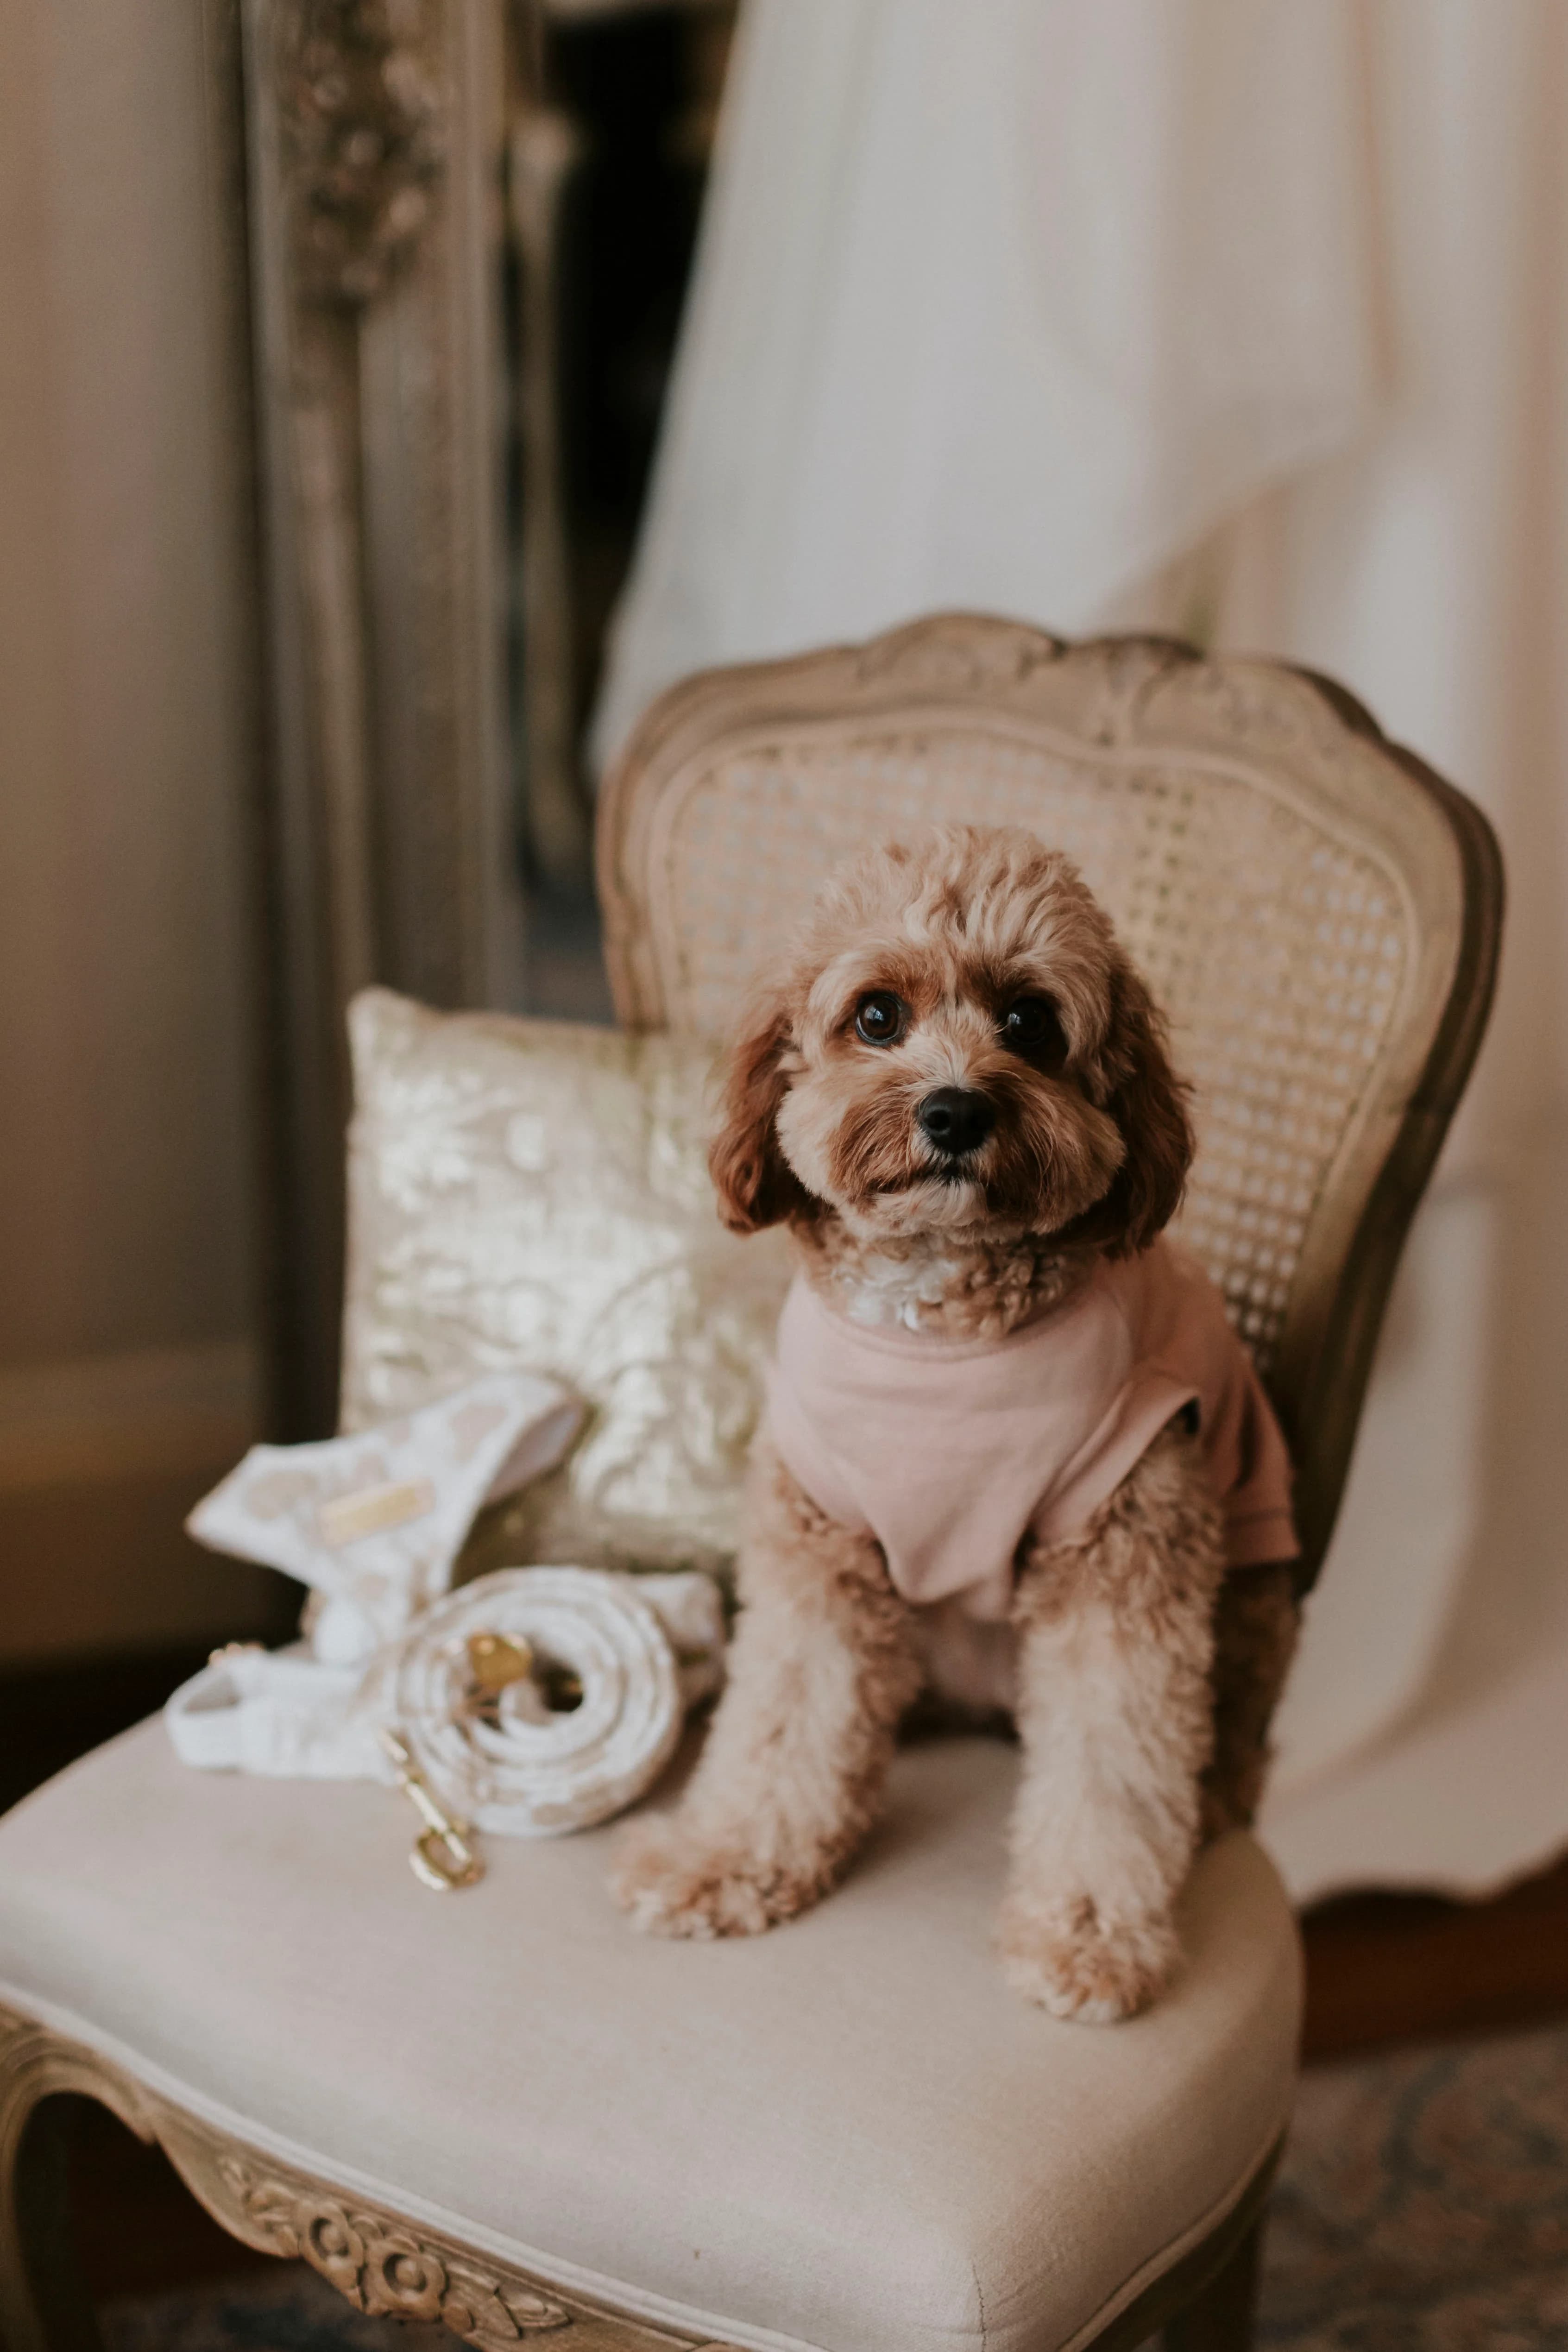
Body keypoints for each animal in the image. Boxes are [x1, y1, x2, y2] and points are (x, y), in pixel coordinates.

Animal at [611, 828, 1297, 2023]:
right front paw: (726, 1859)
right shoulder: (818, 1553)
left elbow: (1113, 1767)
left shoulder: (1129, 1558)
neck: (934, 1325)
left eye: (1028, 1021)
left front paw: (1084, 1938)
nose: (953, 1111)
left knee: (1225, 1753)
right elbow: (783, 1715)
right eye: (876, 1016)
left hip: (1253, 1599)